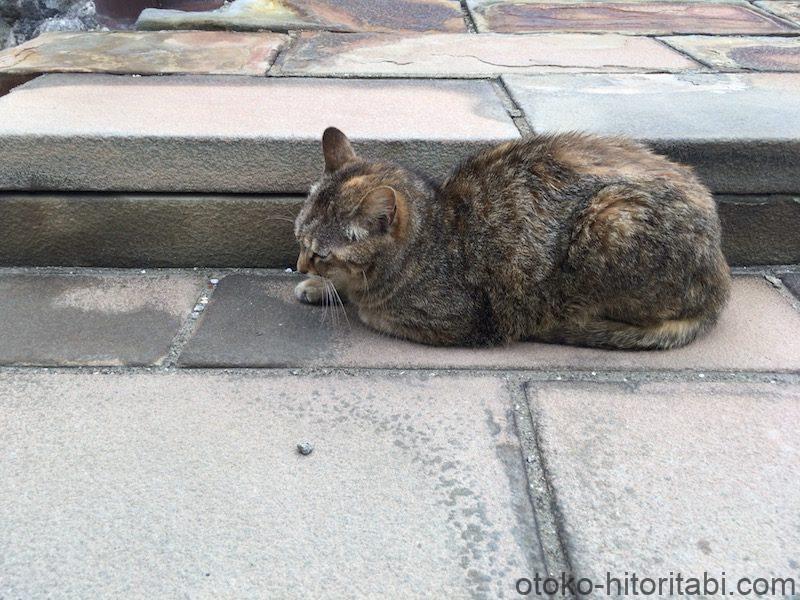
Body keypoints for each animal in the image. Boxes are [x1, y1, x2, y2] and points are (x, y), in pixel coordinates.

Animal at [294, 127, 732, 352]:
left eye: (319, 254)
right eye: (299, 240)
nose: (299, 266)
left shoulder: (455, 321)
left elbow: (370, 310)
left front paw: (344, 295)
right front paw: (320, 288)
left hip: (610, 220)